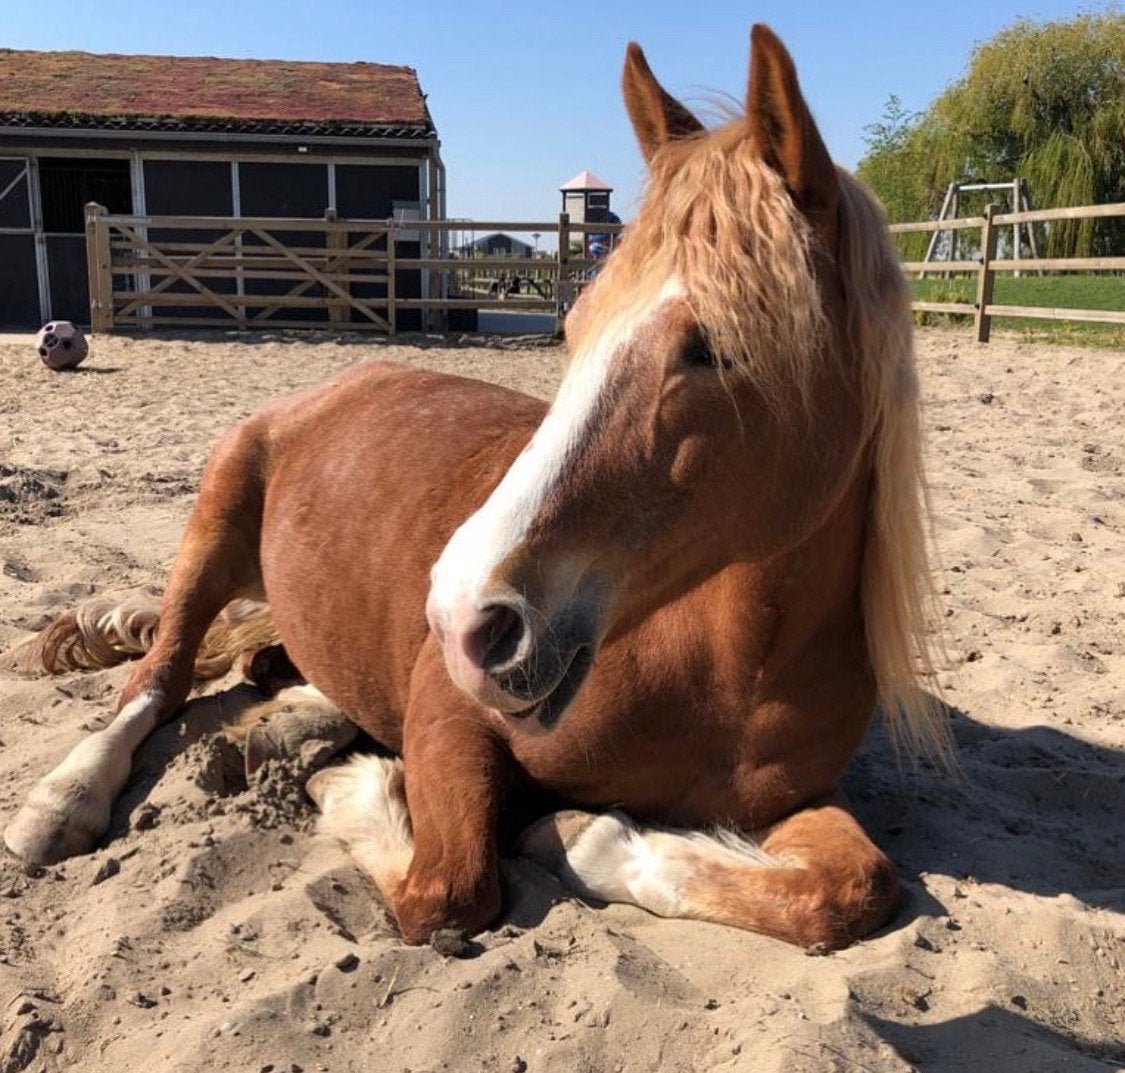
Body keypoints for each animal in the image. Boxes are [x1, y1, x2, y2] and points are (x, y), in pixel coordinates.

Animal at [3, 24, 947, 951]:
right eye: (575, 322)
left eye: (714, 347)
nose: (463, 617)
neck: (723, 663)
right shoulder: (448, 712)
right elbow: (447, 891)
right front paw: (371, 787)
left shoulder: (794, 803)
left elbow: (853, 887)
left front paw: (584, 835)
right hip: (212, 534)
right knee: (156, 677)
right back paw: (65, 799)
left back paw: (297, 715)